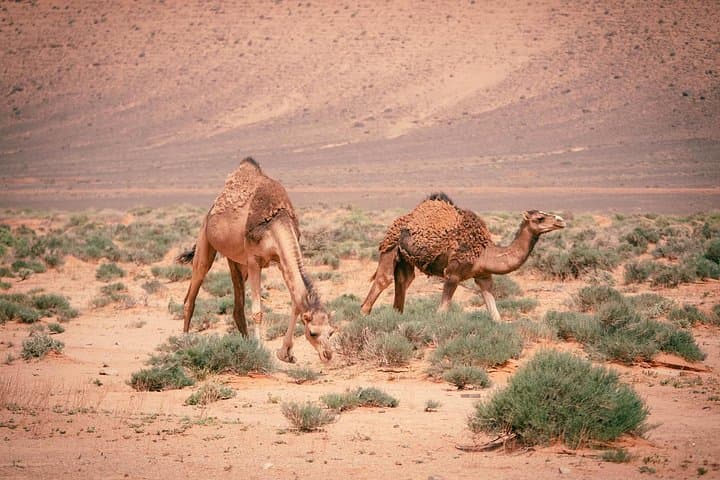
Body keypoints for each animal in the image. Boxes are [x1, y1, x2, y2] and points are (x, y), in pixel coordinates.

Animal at [176, 157, 335, 363]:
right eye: (313, 333)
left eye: (331, 332)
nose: (328, 354)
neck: (277, 220)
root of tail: (211, 211)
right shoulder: (254, 260)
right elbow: (258, 311)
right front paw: (261, 349)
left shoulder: (280, 260)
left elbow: (295, 304)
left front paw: (285, 352)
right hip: (205, 241)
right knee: (192, 295)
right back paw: (185, 343)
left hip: (236, 262)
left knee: (237, 306)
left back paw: (245, 344)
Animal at [360, 193, 565, 321]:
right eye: (539, 218)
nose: (560, 220)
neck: (485, 252)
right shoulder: (453, 274)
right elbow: (441, 312)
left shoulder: (483, 276)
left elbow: (495, 314)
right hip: (390, 248)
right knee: (384, 279)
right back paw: (363, 317)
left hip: (405, 258)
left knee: (404, 280)